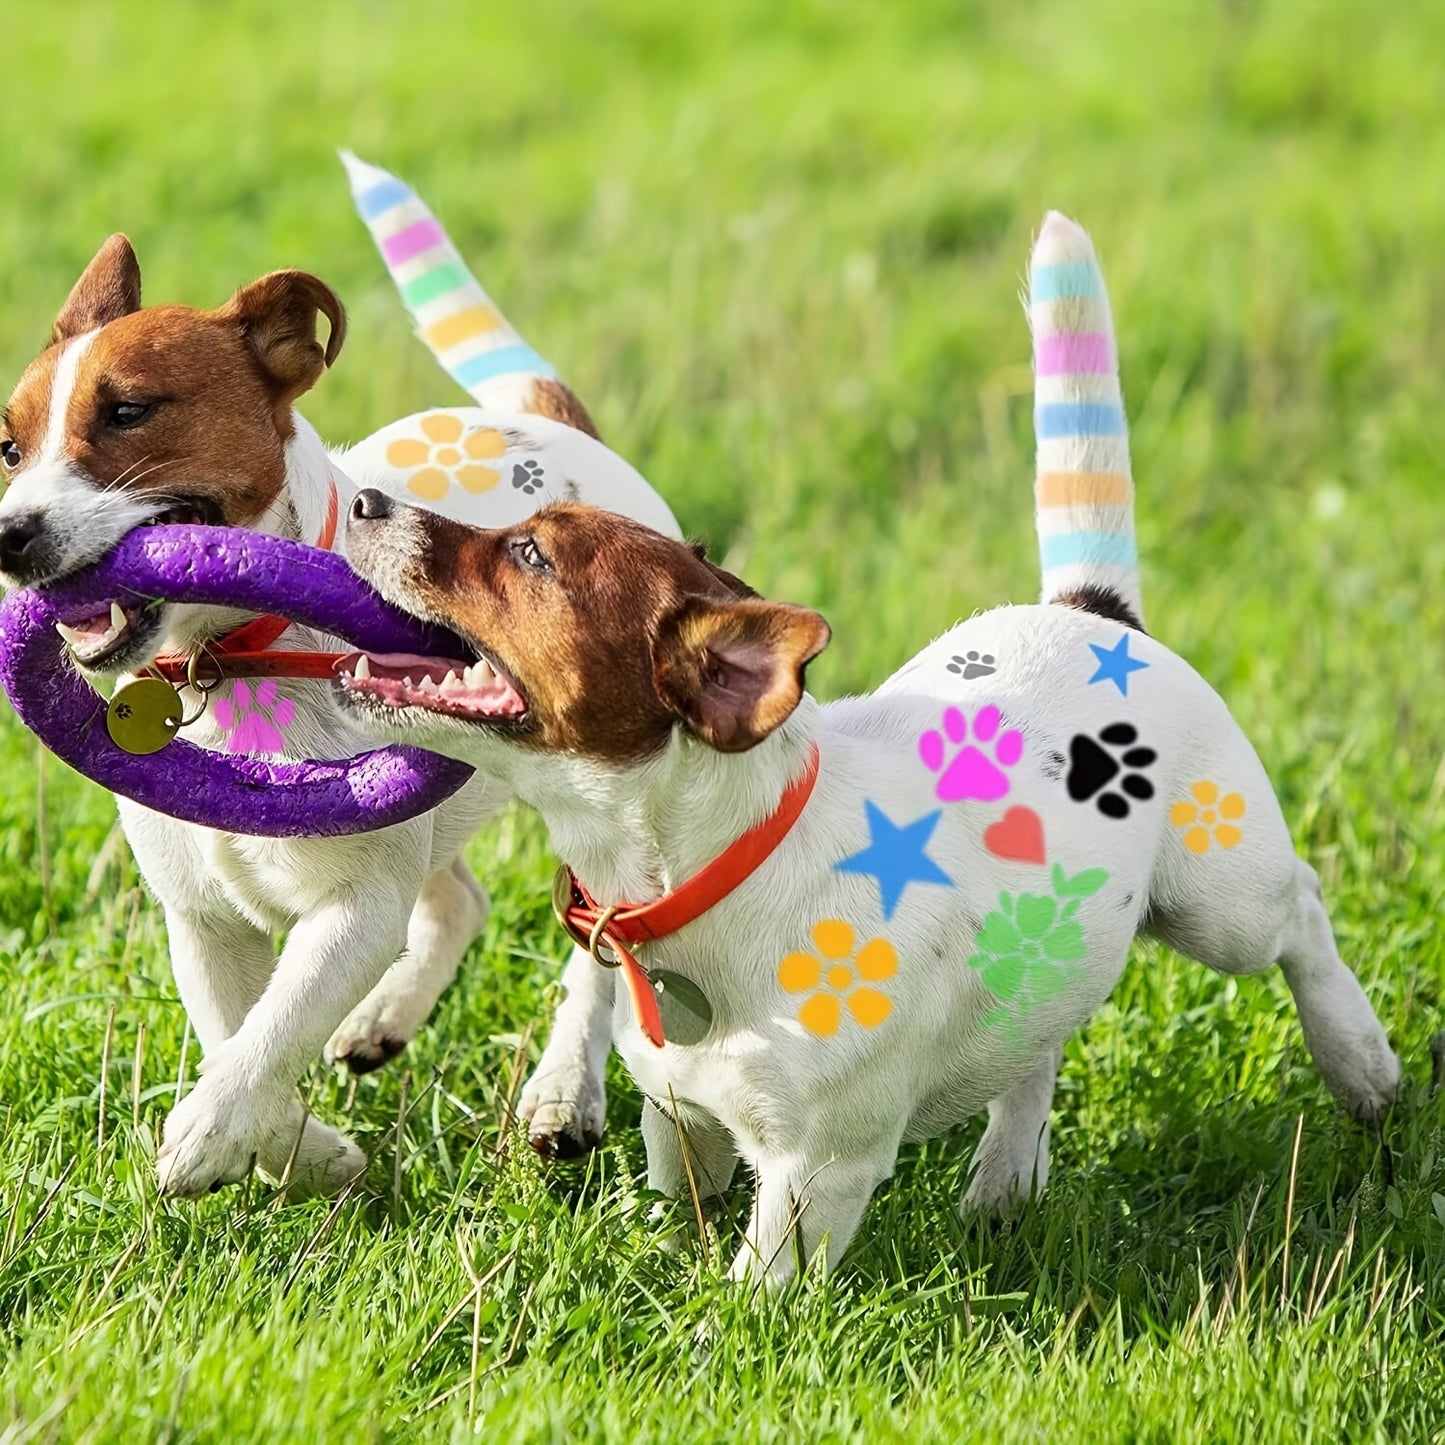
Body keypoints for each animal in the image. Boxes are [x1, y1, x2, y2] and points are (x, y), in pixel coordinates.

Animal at [0, 234, 676, 1184]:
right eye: (8, 449)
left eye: (129, 410)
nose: (6, 537)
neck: (232, 663)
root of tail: (559, 424)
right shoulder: (201, 920)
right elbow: (236, 1032)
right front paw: (304, 1154)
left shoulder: (355, 910)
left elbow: (275, 1027)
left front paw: (210, 1135)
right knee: (459, 900)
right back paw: (383, 1018)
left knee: (598, 949)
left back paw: (561, 1091)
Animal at [332, 210, 1392, 1277]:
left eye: (530, 554)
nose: (365, 502)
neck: (711, 870)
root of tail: (1091, 610)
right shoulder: (683, 1118)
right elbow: (683, 1199)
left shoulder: (815, 1173)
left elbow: (753, 1285)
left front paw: (721, 1312)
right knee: (1040, 1038)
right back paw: (1006, 1173)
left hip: (1219, 900)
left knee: (1299, 909)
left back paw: (1362, 1063)